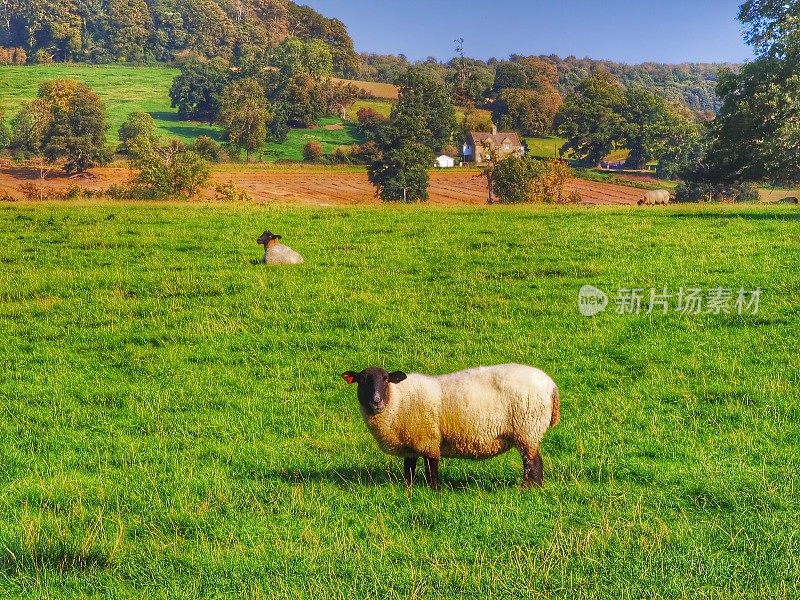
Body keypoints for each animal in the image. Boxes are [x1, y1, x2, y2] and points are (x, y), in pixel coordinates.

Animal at [340, 364, 560, 490]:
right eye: (362, 380)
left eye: (385, 379)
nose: (376, 401)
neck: (398, 399)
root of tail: (551, 385)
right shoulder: (411, 445)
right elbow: (409, 469)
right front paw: (407, 490)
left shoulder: (429, 440)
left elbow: (431, 469)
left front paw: (434, 491)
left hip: (527, 429)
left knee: (533, 463)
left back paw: (528, 489)